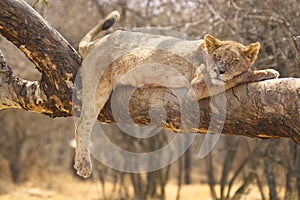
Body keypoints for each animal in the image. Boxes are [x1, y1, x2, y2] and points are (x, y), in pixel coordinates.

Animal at [74, 10, 280, 177]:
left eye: (233, 60)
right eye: (217, 57)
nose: (218, 70)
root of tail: (96, 43)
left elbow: (238, 74)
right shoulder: (196, 86)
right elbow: (240, 76)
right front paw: (267, 71)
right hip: (98, 86)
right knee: (83, 124)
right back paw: (84, 165)